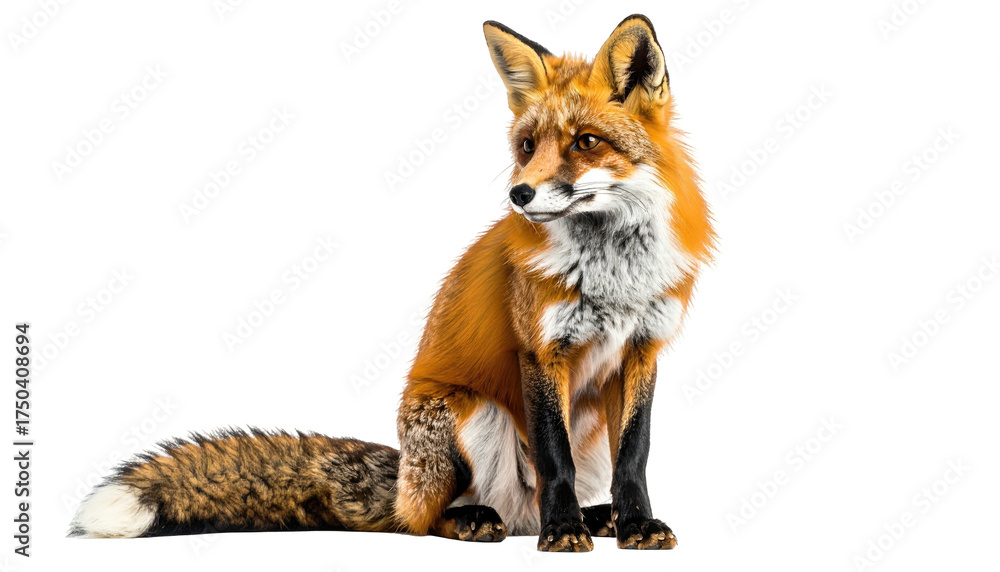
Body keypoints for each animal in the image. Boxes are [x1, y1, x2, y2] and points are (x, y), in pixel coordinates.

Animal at [69, 14, 714, 552]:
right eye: (528, 147)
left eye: (585, 143)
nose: (519, 194)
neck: (612, 274)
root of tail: (404, 477)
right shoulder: (540, 350)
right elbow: (555, 460)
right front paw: (562, 533)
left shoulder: (642, 350)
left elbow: (635, 456)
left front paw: (636, 524)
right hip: (470, 414)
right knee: (428, 520)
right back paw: (490, 520)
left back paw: (598, 517)